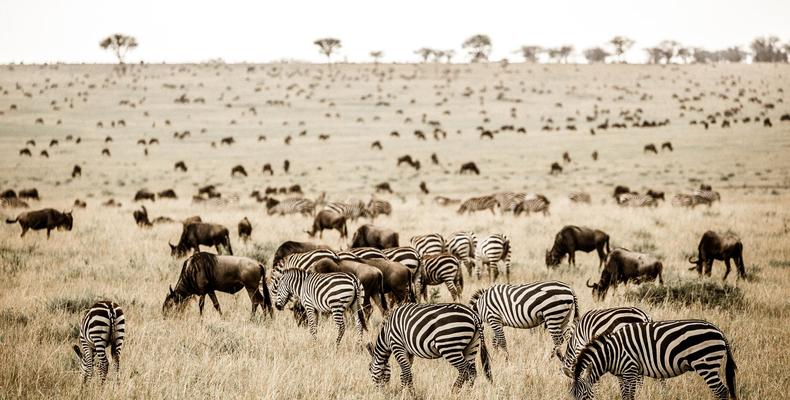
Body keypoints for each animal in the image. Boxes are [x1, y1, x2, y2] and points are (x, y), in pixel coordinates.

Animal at [572, 320, 740, 400]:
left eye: (584, 396)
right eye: (572, 397)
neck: (611, 353)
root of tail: (719, 330)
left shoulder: (630, 369)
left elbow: (630, 395)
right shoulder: (621, 374)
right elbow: (624, 395)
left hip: (706, 364)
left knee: (721, 391)